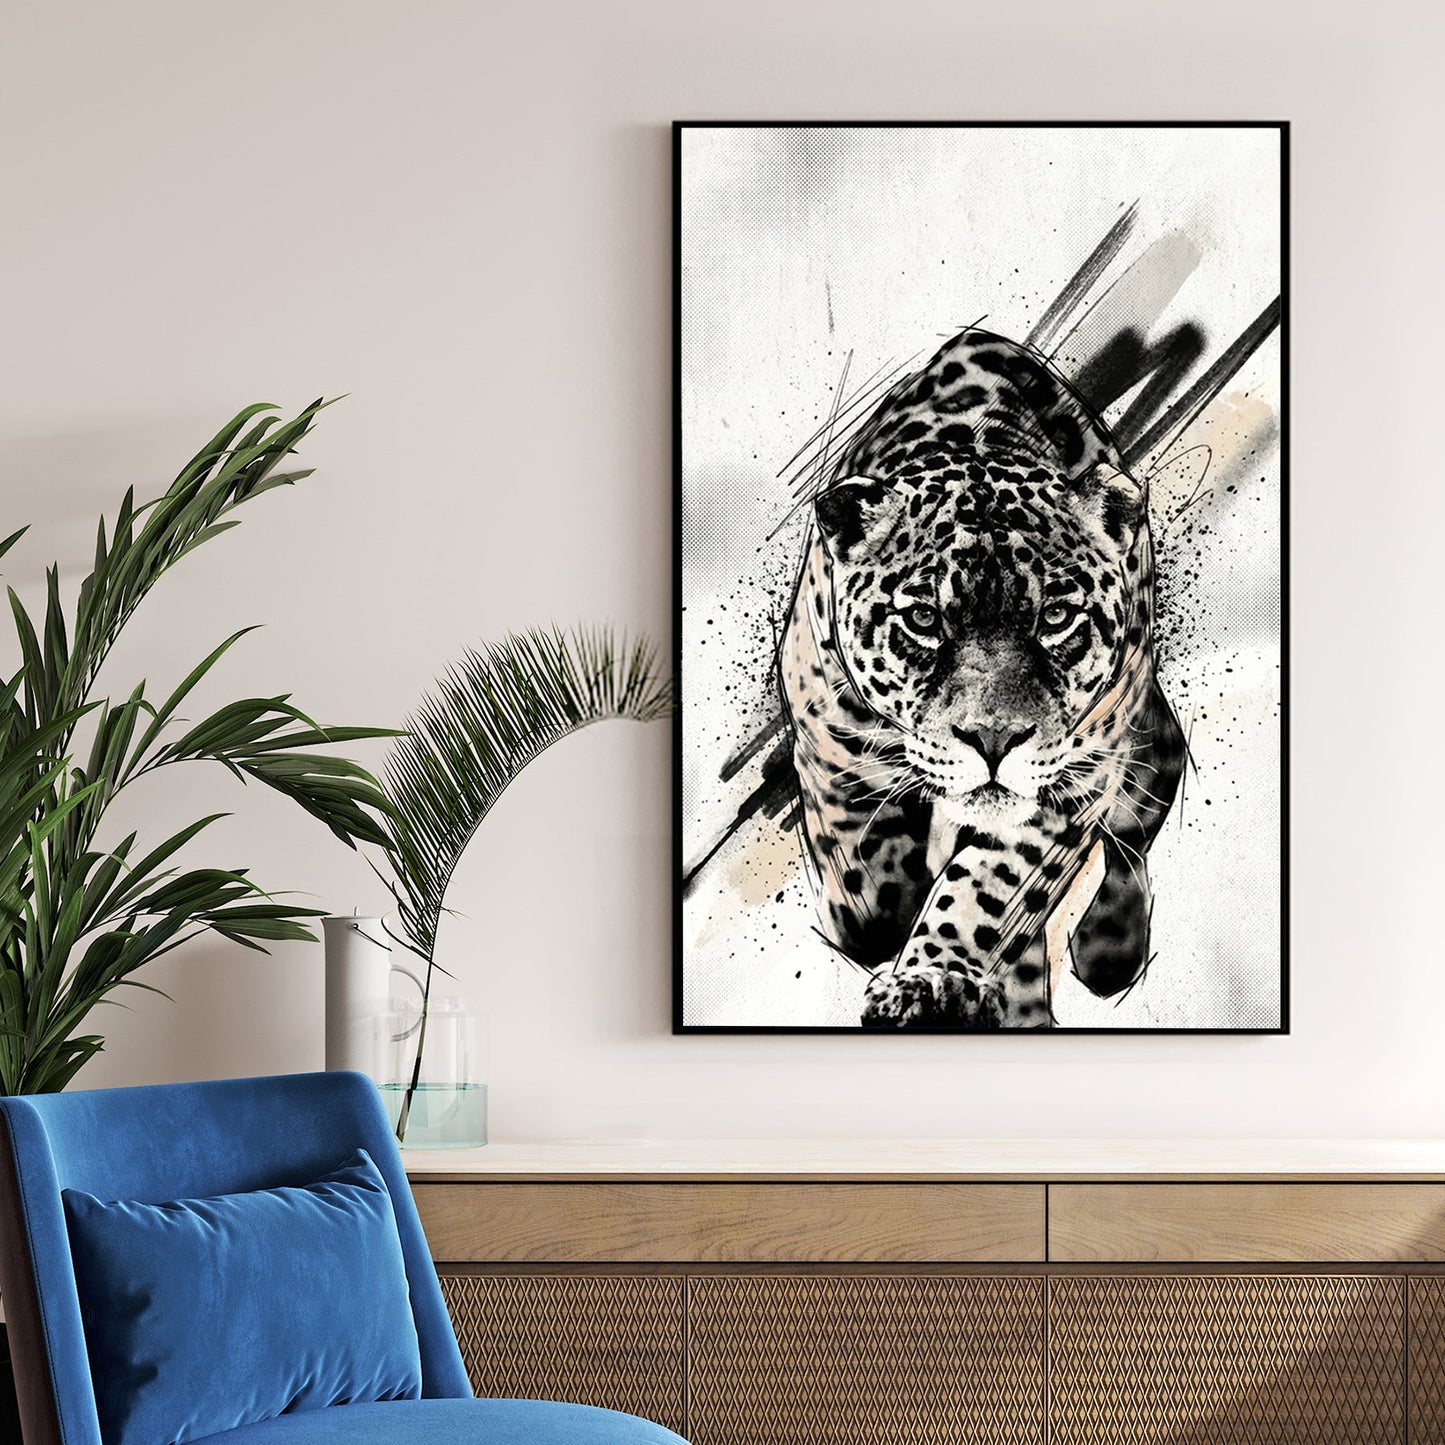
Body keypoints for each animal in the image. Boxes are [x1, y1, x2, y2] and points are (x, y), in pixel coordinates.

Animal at [777, 326, 1186, 1028]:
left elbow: (983, 890)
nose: (994, 742)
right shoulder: (826, 746)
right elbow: (868, 900)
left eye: (1056, 617)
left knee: (1147, 795)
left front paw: (930, 979)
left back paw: (1108, 947)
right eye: (922, 618)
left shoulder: (1067, 789)